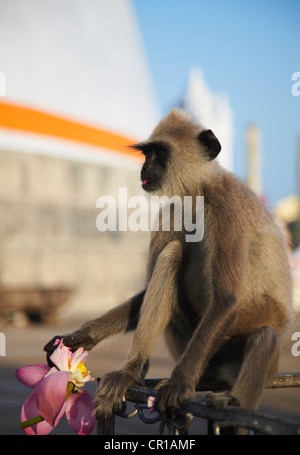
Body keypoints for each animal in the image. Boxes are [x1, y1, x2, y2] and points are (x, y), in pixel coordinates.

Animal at [44, 108, 292, 428]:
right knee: (172, 253)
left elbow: (226, 299)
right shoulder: (175, 208)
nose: (144, 168)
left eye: (159, 153)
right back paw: (131, 371)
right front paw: (79, 337)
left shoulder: (226, 209)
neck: (199, 192)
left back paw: (229, 399)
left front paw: (180, 383)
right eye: (146, 153)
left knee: (264, 337)